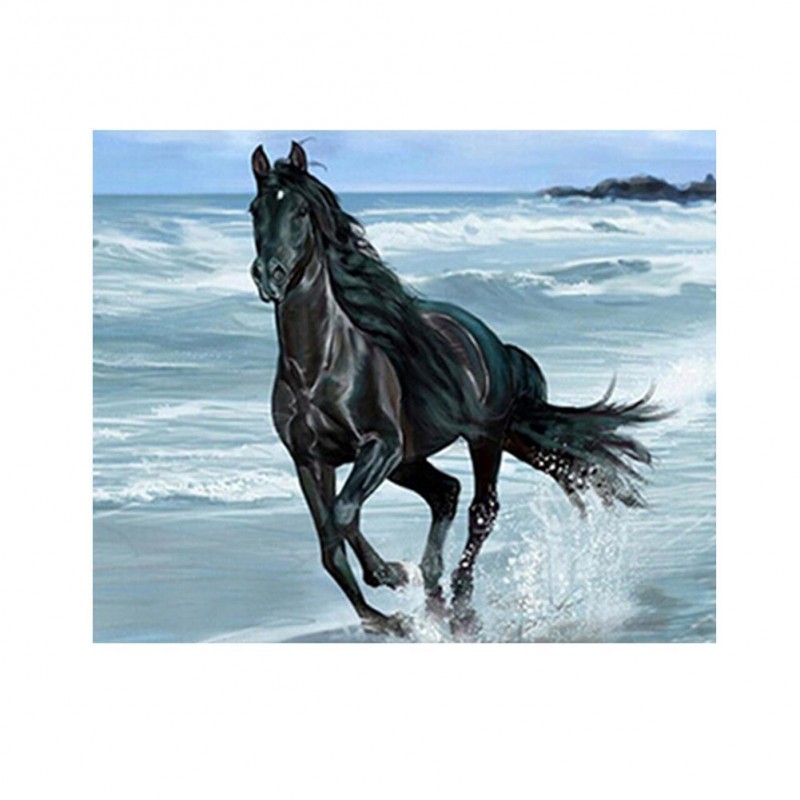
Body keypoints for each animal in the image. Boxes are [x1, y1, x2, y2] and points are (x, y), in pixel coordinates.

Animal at [248, 141, 667, 637]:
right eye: (255, 210)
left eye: (300, 212)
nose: (269, 275)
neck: (318, 369)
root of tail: (494, 344)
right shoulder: (310, 460)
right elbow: (329, 543)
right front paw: (384, 618)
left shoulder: (380, 446)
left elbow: (344, 513)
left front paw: (390, 575)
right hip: (412, 459)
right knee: (445, 491)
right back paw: (434, 598)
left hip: (479, 438)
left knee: (481, 509)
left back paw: (460, 604)